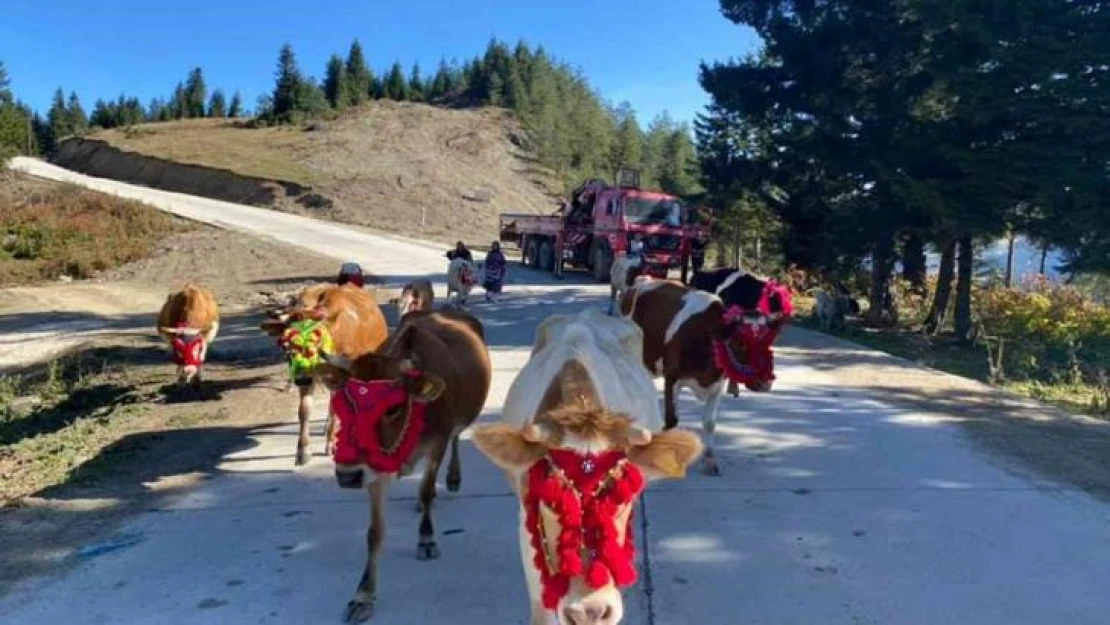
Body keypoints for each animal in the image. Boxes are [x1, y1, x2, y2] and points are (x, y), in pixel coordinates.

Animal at [260, 284, 390, 464]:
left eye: (317, 344)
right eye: (287, 345)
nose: (301, 379)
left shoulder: (341, 377)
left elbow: (337, 408)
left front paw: (331, 443)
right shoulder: (309, 378)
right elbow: (304, 411)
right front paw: (303, 450)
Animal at [313, 306, 486, 621]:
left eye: (392, 408)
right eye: (346, 402)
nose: (347, 477)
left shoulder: (437, 445)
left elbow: (426, 490)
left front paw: (427, 539)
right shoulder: (373, 470)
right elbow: (374, 532)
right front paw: (363, 595)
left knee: (457, 437)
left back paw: (453, 479)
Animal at [621, 271, 794, 477]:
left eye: (769, 341)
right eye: (740, 342)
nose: (765, 383)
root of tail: (643, 279)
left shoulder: (717, 384)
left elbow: (710, 423)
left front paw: (710, 460)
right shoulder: (672, 377)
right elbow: (671, 420)